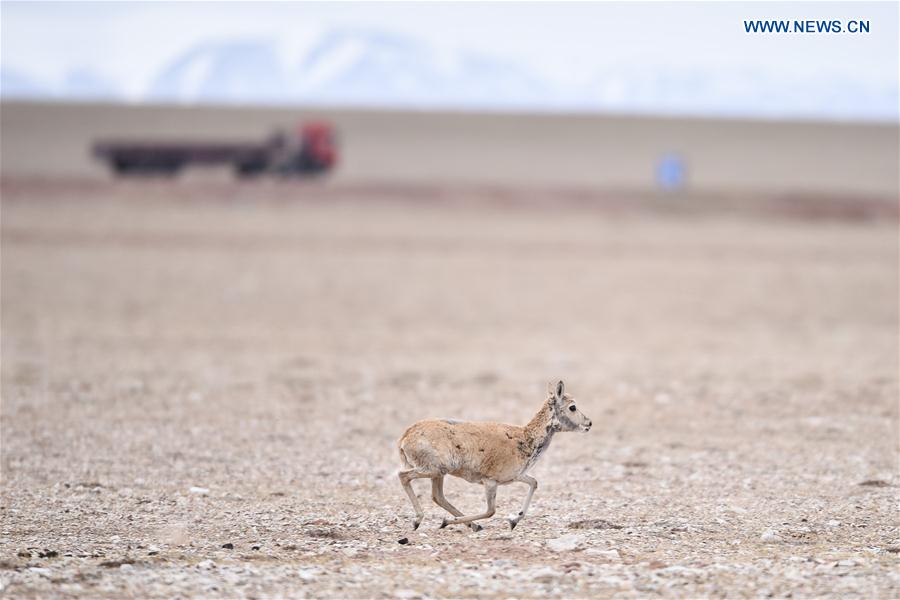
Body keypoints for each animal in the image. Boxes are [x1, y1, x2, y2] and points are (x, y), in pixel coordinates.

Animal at [394, 382, 592, 532]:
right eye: (572, 407)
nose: (589, 423)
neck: (526, 436)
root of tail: (405, 437)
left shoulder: (516, 476)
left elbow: (534, 483)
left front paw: (514, 520)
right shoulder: (490, 482)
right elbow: (491, 510)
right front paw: (446, 521)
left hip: (438, 474)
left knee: (438, 496)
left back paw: (473, 525)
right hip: (433, 469)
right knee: (404, 476)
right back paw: (419, 520)